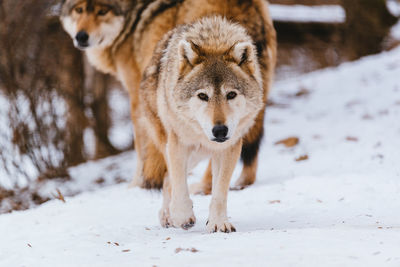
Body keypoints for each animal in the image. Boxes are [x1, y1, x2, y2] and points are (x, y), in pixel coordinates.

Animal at [60, 0, 276, 195]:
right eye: (79, 9)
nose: (81, 37)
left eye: (102, 11)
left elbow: (141, 149)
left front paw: (138, 184)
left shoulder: (136, 96)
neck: (132, 16)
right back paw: (241, 183)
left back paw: (202, 187)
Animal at [138, 16, 266, 232]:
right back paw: (169, 216)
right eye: (203, 96)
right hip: (176, 147)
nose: (220, 130)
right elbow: (179, 185)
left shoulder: (229, 148)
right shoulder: (178, 144)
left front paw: (218, 222)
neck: (214, 39)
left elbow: (219, 191)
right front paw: (182, 215)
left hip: (198, 155)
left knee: (167, 179)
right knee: (169, 179)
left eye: (231, 94)